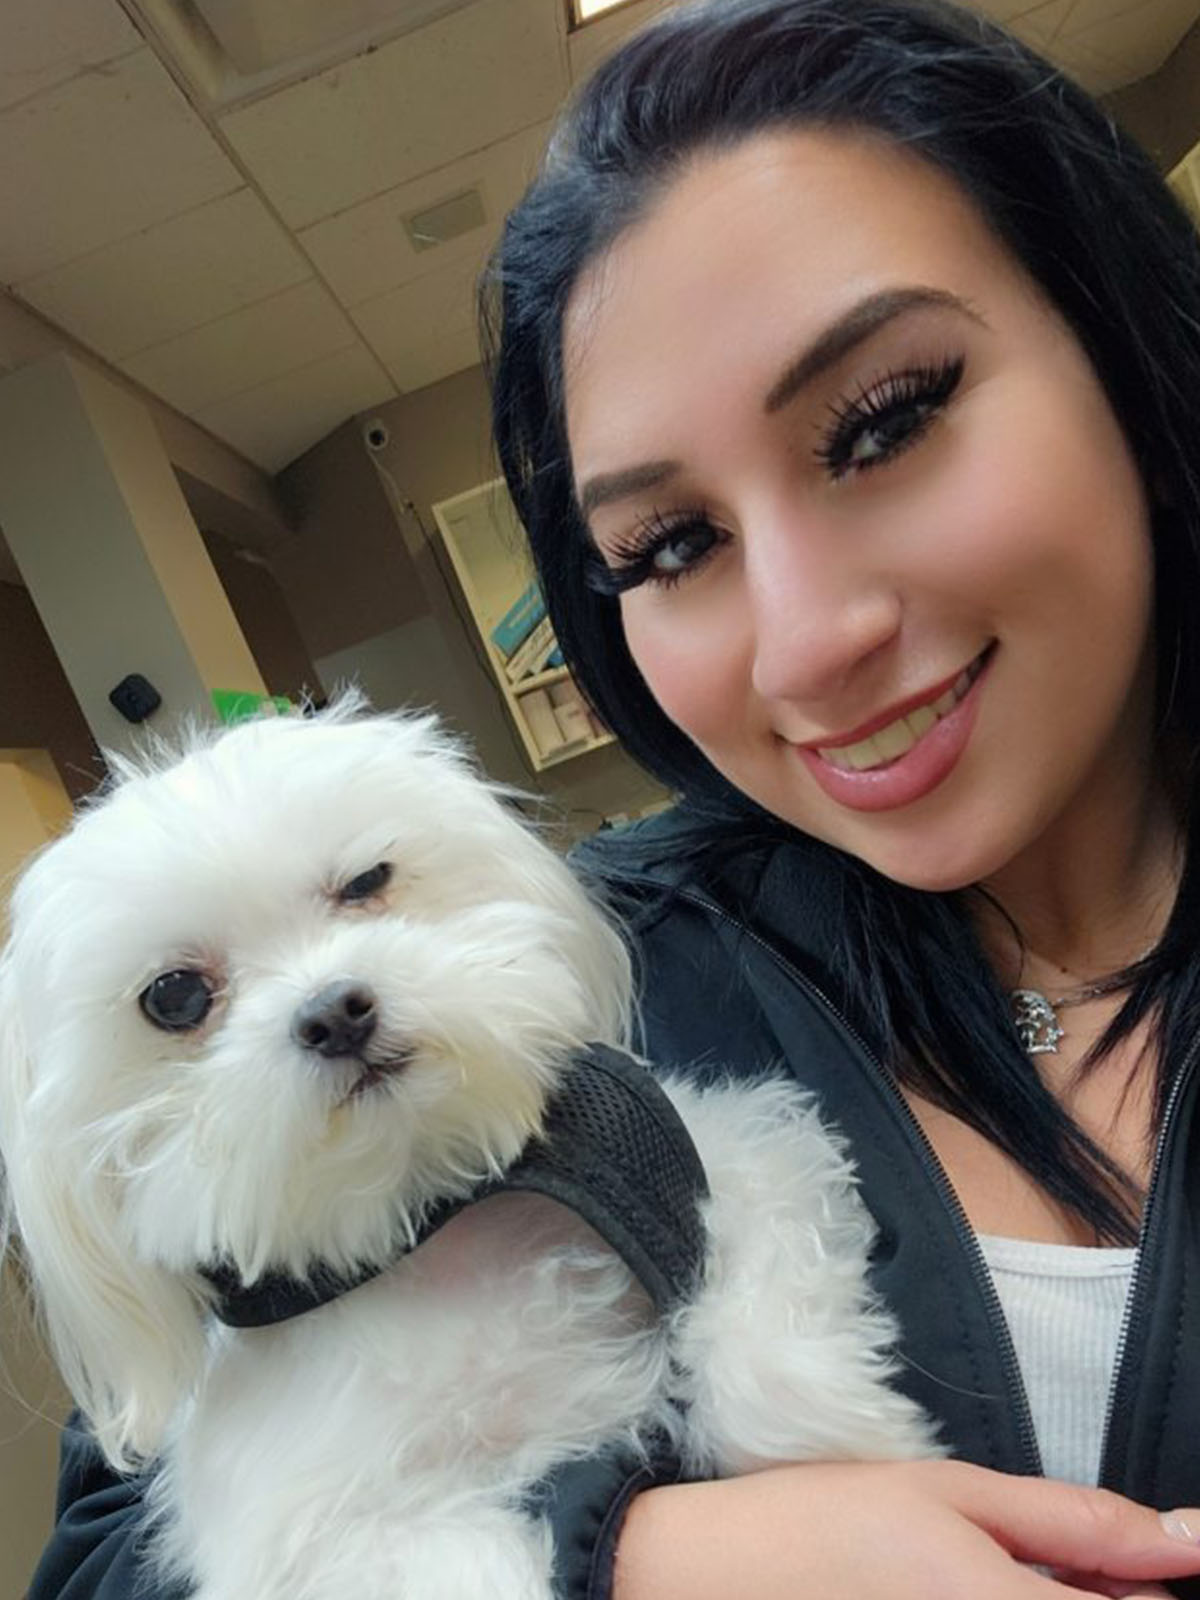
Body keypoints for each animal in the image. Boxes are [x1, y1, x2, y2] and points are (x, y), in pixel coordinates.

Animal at [0, 707, 940, 1593]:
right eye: (174, 998)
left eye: (367, 881)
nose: (336, 1011)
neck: (429, 1224)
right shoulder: (302, 1539)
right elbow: (460, 1563)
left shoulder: (721, 1151)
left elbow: (765, 1276)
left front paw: (837, 1425)